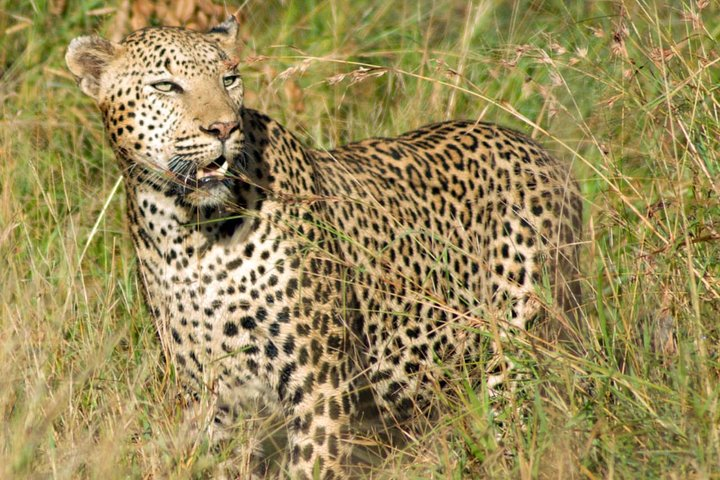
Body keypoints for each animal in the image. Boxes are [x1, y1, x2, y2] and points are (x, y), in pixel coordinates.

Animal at [66, 15, 584, 480]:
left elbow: (312, 465)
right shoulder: (210, 398)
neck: (188, 234)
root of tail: (545, 154)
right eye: (166, 86)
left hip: (520, 346)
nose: (223, 128)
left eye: (229, 79)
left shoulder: (318, 385)